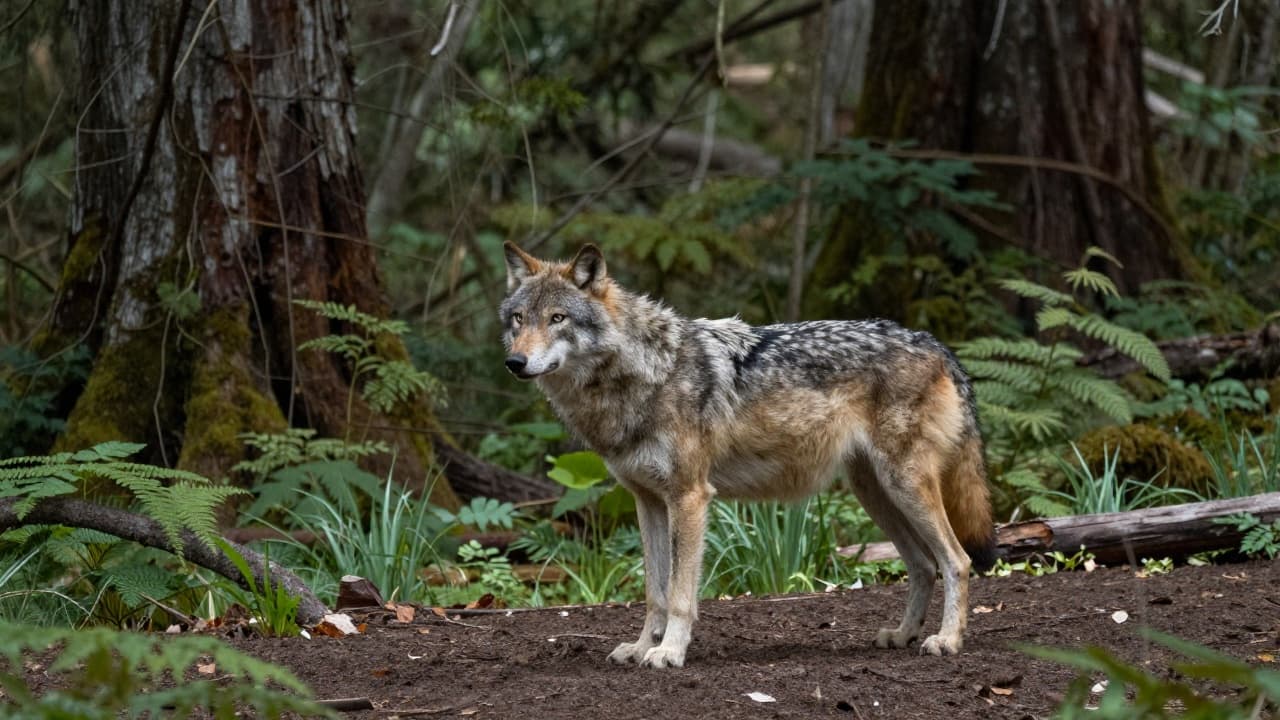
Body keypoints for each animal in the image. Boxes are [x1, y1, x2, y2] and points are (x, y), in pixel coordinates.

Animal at [500, 241, 995, 668]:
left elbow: (679, 595)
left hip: (904, 486)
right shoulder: (648, 501)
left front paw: (668, 652)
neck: (645, 372)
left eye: (558, 318)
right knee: (923, 565)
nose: (514, 363)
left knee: (957, 561)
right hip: (875, 494)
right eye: (519, 319)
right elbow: (654, 592)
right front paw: (641, 647)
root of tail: (933, 341)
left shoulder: (690, 497)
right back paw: (903, 634)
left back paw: (947, 640)